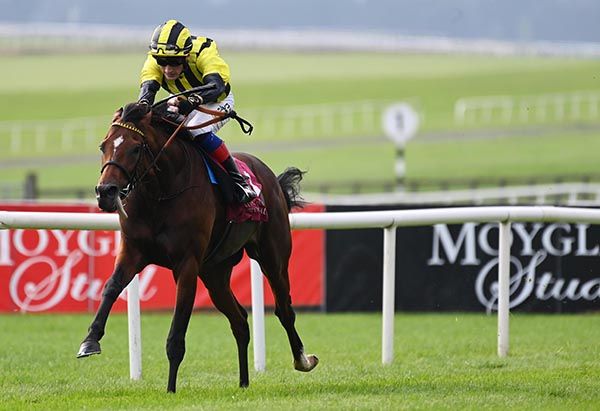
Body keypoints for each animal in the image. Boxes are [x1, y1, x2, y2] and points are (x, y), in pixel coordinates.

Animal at [78, 102, 318, 392]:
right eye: (103, 145)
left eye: (135, 148)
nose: (106, 192)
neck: (159, 193)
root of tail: (272, 178)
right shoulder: (132, 251)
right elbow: (111, 287)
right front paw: (90, 341)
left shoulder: (187, 264)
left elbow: (177, 330)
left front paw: (170, 389)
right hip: (215, 273)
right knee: (239, 320)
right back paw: (243, 382)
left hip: (273, 257)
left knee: (284, 309)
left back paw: (303, 360)